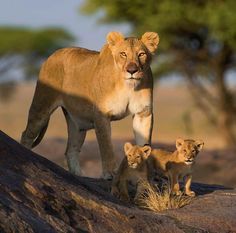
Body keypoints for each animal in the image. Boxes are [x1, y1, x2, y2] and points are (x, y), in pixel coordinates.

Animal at [21, 31, 159, 178]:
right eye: (123, 54)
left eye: (141, 54)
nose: (132, 70)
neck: (128, 86)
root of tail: (52, 55)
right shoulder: (101, 115)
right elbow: (106, 146)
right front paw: (110, 173)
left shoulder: (143, 114)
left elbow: (144, 143)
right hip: (41, 107)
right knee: (27, 134)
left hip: (77, 123)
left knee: (70, 150)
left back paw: (78, 175)